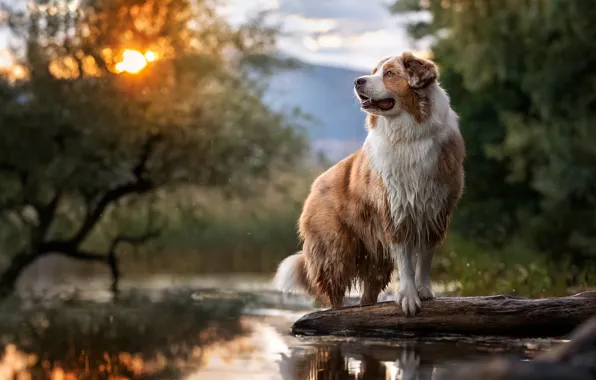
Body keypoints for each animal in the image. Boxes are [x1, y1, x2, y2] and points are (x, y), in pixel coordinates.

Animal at [274, 52, 466, 316]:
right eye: (374, 72)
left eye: (389, 73)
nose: (358, 81)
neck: (409, 135)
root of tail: (315, 185)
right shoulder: (395, 211)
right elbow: (405, 263)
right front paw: (409, 297)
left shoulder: (434, 212)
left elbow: (424, 259)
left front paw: (424, 291)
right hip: (336, 251)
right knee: (335, 294)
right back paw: (337, 314)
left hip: (376, 261)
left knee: (368, 294)